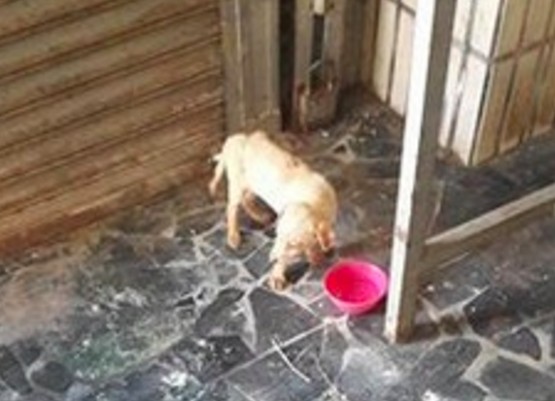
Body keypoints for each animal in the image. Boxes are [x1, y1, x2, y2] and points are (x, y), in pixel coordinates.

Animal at [209, 130, 337, 290]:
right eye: (277, 235)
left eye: (293, 244)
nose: (271, 259)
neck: (314, 201)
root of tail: (234, 138)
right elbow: (284, 257)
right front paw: (277, 276)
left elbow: (312, 245)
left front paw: (316, 257)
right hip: (237, 183)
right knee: (232, 208)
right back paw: (233, 236)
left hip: (254, 183)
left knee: (247, 199)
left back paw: (260, 216)